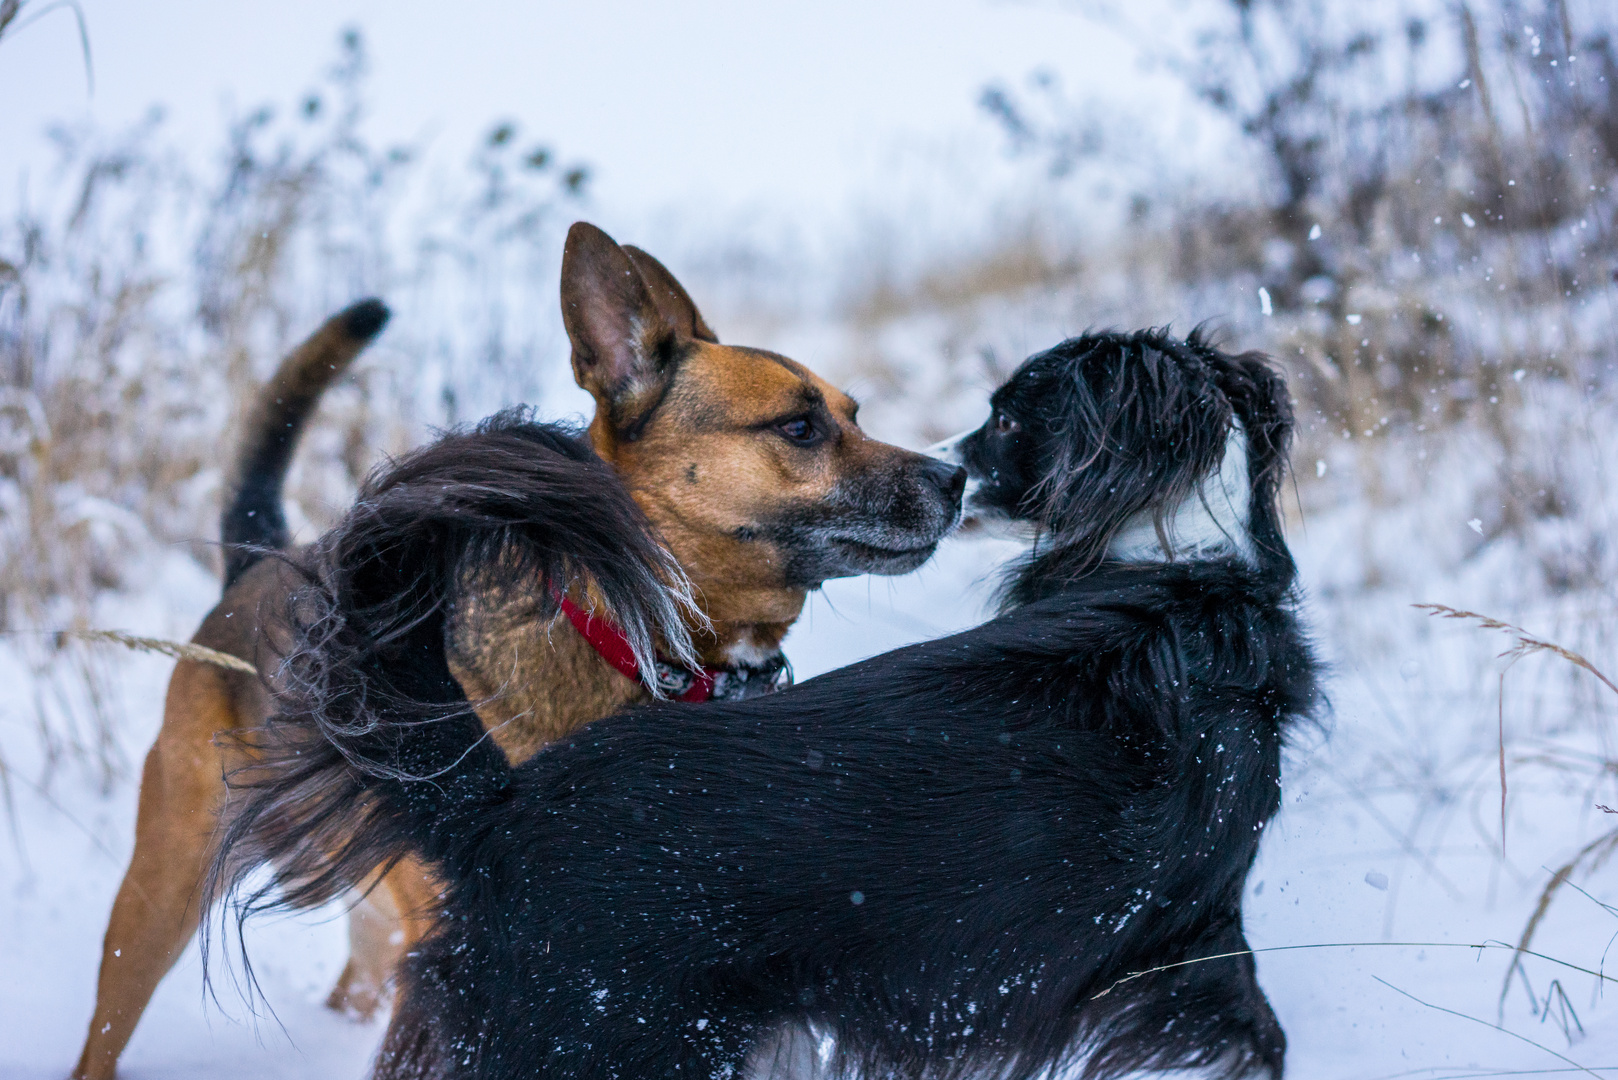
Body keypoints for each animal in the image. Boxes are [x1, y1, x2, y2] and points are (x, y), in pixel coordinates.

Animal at [72, 221, 957, 1080]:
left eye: (855, 412)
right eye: (800, 428)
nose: (955, 479)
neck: (633, 646)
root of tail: (257, 564)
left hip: (376, 925)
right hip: (162, 890)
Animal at [211, 330, 1313, 1080]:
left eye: (1005, 420)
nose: (949, 472)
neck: (1178, 555)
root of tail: (501, 811)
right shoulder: (1193, 939)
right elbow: (1251, 1034)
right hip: (613, 1038)